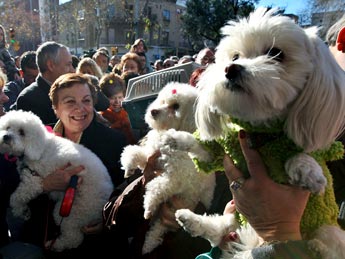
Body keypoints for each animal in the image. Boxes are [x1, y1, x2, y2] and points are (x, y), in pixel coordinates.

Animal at [0, 109, 113, 252]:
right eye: (7, 127)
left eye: (22, 132)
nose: (6, 137)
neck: (40, 147)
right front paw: (24, 212)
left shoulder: (33, 182)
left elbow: (15, 198)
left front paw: (20, 211)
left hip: (71, 210)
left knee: (74, 238)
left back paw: (56, 245)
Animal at [119, 82, 215, 255]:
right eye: (162, 101)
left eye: (176, 106)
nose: (153, 111)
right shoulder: (151, 156)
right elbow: (133, 152)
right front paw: (128, 169)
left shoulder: (174, 178)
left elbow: (155, 188)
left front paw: (148, 207)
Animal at [159, 7, 345, 259]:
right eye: (235, 56)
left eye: (276, 53)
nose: (231, 69)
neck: (260, 132)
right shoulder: (226, 151)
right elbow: (205, 150)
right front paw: (174, 138)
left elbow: (308, 153)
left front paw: (306, 170)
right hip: (236, 216)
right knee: (220, 228)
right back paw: (190, 220)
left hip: (327, 226)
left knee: (331, 241)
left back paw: (316, 247)